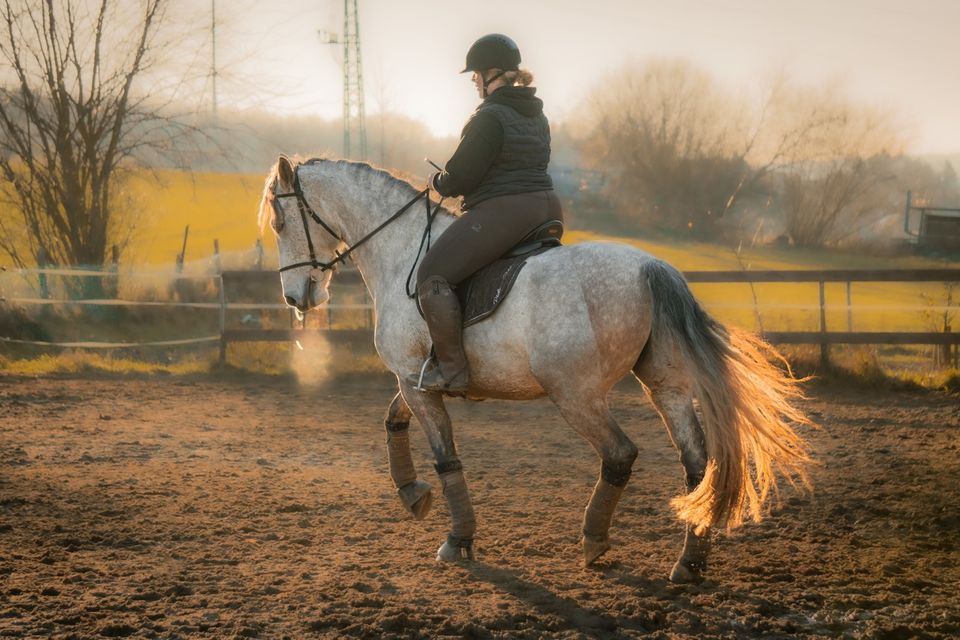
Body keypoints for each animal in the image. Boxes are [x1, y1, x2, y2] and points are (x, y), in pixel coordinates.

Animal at [258, 156, 812, 584]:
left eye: (280, 221)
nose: (296, 298)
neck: (401, 253)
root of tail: (651, 267)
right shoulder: (419, 375)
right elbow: (394, 419)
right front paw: (413, 495)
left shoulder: (414, 377)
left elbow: (445, 455)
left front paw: (457, 539)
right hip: (665, 386)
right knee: (697, 465)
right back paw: (689, 564)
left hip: (575, 393)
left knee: (620, 454)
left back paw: (594, 540)